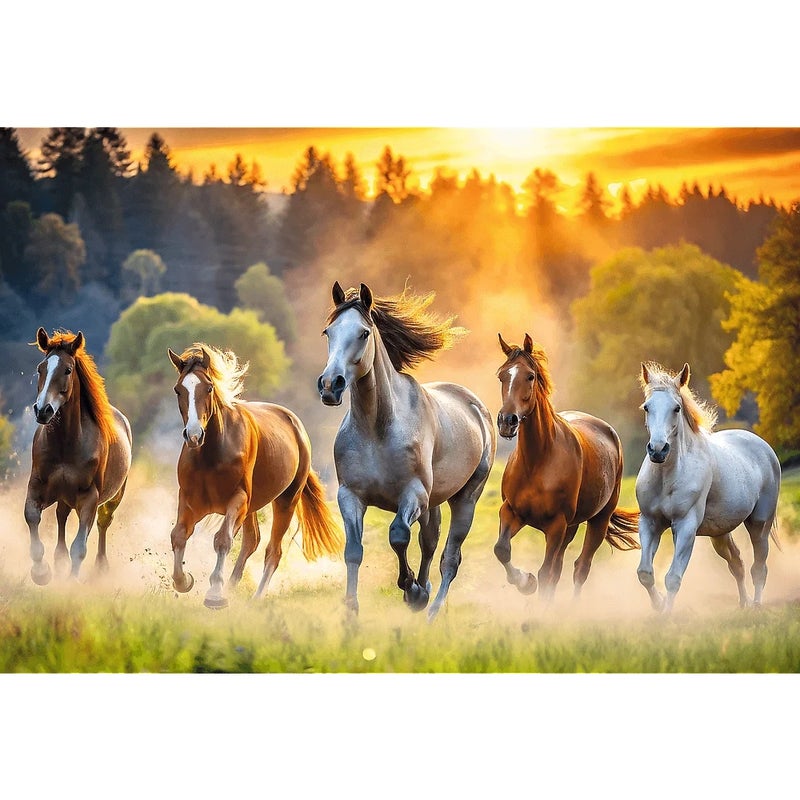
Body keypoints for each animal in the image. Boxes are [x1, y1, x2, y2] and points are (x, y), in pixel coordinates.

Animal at [24, 327, 132, 584]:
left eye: (67, 370)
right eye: (40, 368)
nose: (43, 410)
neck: (67, 444)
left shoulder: (89, 498)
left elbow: (80, 546)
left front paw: (71, 582)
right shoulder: (37, 486)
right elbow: (32, 518)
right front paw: (41, 572)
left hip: (113, 498)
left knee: (102, 523)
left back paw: (101, 567)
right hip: (64, 497)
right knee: (61, 517)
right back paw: (59, 561)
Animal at [167, 342, 343, 608]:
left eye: (208, 388)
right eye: (178, 390)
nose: (194, 435)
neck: (212, 453)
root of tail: (296, 426)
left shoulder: (237, 500)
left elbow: (223, 539)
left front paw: (215, 594)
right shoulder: (190, 501)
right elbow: (178, 535)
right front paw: (185, 580)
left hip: (285, 501)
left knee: (273, 551)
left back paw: (256, 598)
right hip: (251, 508)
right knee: (252, 541)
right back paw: (231, 587)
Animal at [317, 282, 496, 620]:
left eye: (363, 333)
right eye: (328, 331)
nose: (330, 385)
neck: (377, 429)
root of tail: (475, 406)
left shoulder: (413, 494)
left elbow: (398, 534)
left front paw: (410, 589)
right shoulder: (350, 496)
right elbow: (353, 551)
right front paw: (351, 613)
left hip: (465, 498)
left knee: (450, 558)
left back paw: (430, 608)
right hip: (434, 503)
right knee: (430, 542)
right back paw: (424, 592)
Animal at [494, 333, 640, 602]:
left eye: (530, 376)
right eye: (502, 376)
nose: (507, 422)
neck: (537, 461)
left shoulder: (556, 525)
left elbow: (545, 573)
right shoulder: (511, 512)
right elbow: (502, 550)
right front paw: (525, 582)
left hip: (597, 521)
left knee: (580, 567)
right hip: (571, 527)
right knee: (560, 568)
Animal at [635, 361, 781, 612]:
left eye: (676, 408)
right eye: (647, 407)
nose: (658, 450)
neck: (667, 477)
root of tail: (763, 446)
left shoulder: (685, 526)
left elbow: (673, 577)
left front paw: (665, 615)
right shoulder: (650, 522)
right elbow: (645, 573)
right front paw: (659, 606)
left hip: (759, 524)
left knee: (759, 567)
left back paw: (755, 606)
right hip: (720, 534)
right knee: (737, 564)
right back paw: (743, 604)